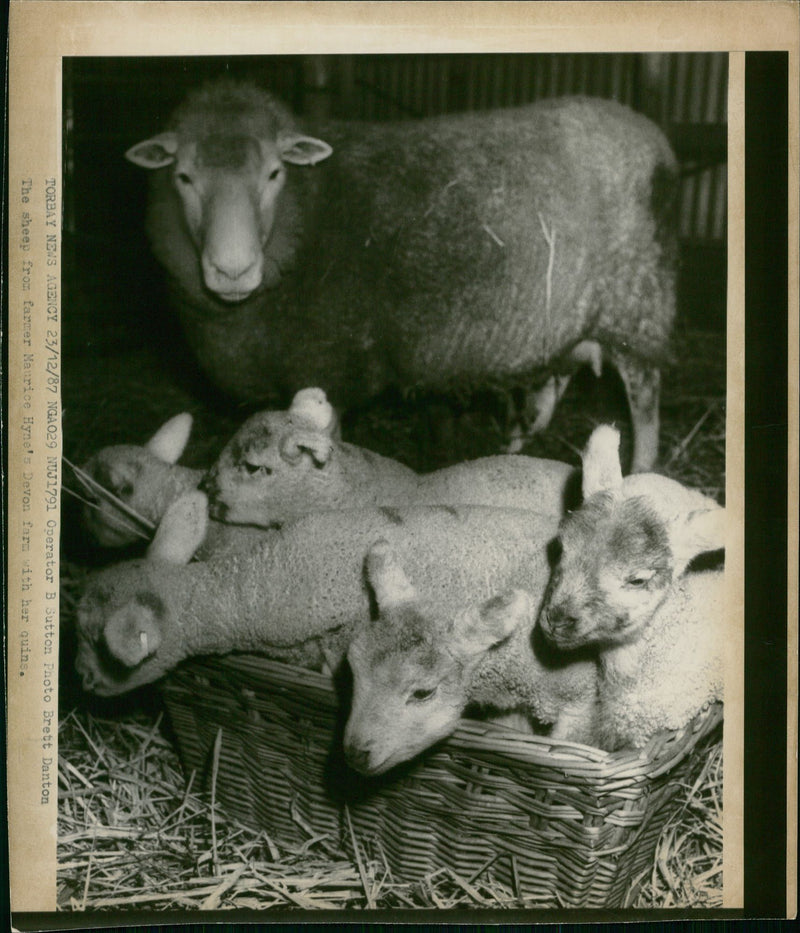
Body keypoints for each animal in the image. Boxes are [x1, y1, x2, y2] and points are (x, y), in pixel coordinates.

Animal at [128, 79, 680, 470]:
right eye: (183, 177)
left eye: (274, 173)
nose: (232, 270)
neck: (309, 212)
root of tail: (651, 135)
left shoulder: (329, 365)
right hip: (568, 314)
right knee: (557, 377)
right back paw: (515, 446)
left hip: (637, 302)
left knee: (645, 395)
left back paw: (641, 469)